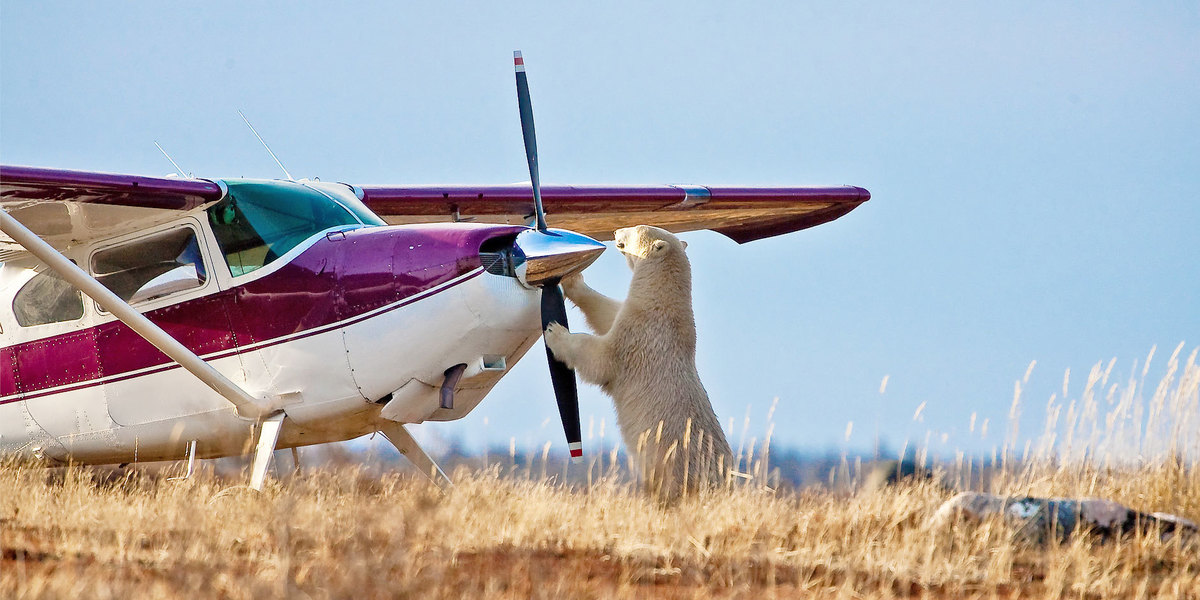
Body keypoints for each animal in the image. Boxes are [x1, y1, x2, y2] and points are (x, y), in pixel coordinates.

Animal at [544, 223, 729, 499]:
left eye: (636, 228)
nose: (615, 231)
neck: (664, 305)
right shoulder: (633, 316)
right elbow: (606, 312)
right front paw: (573, 280)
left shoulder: (640, 336)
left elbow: (601, 358)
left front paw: (556, 332)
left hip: (675, 467)